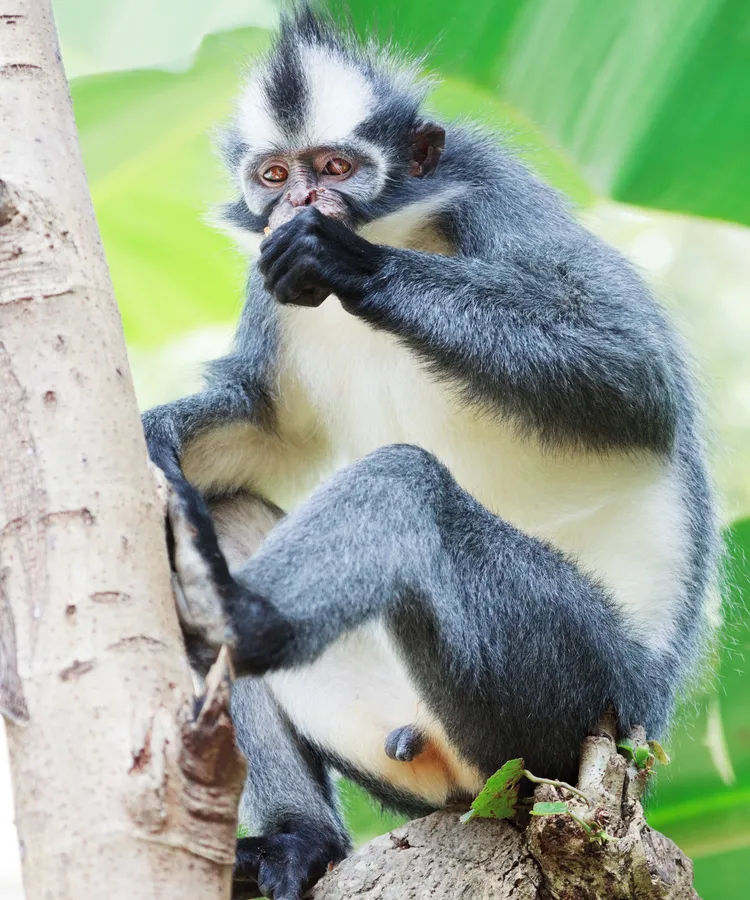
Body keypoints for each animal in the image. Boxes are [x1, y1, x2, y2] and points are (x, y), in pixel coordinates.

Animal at [142, 6, 719, 899]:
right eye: (274, 174)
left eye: (336, 167)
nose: (302, 200)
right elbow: (263, 431)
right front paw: (149, 440)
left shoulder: (492, 192)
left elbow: (632, 369)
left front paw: (349, 262)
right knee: (224, 511)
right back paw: (300, 837)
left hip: (578, 689)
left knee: (406, 483)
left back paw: (234, 613)